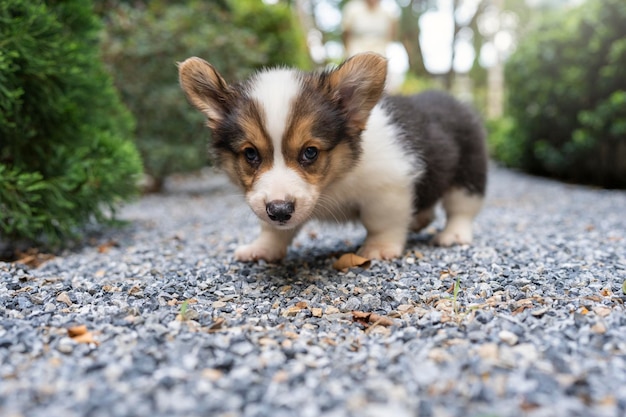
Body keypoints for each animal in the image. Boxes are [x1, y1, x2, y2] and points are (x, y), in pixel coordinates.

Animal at [178, 52, 486, 260]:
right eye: (251, 154)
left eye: (310, 152)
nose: (280, 211)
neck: (333, 182)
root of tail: (455, 101)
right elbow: (273, 230)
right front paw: (262, 249)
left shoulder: (388, 190)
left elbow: (381, 223)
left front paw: (378, 249)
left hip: (468, 173)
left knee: (462, 208)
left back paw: (453, 235)